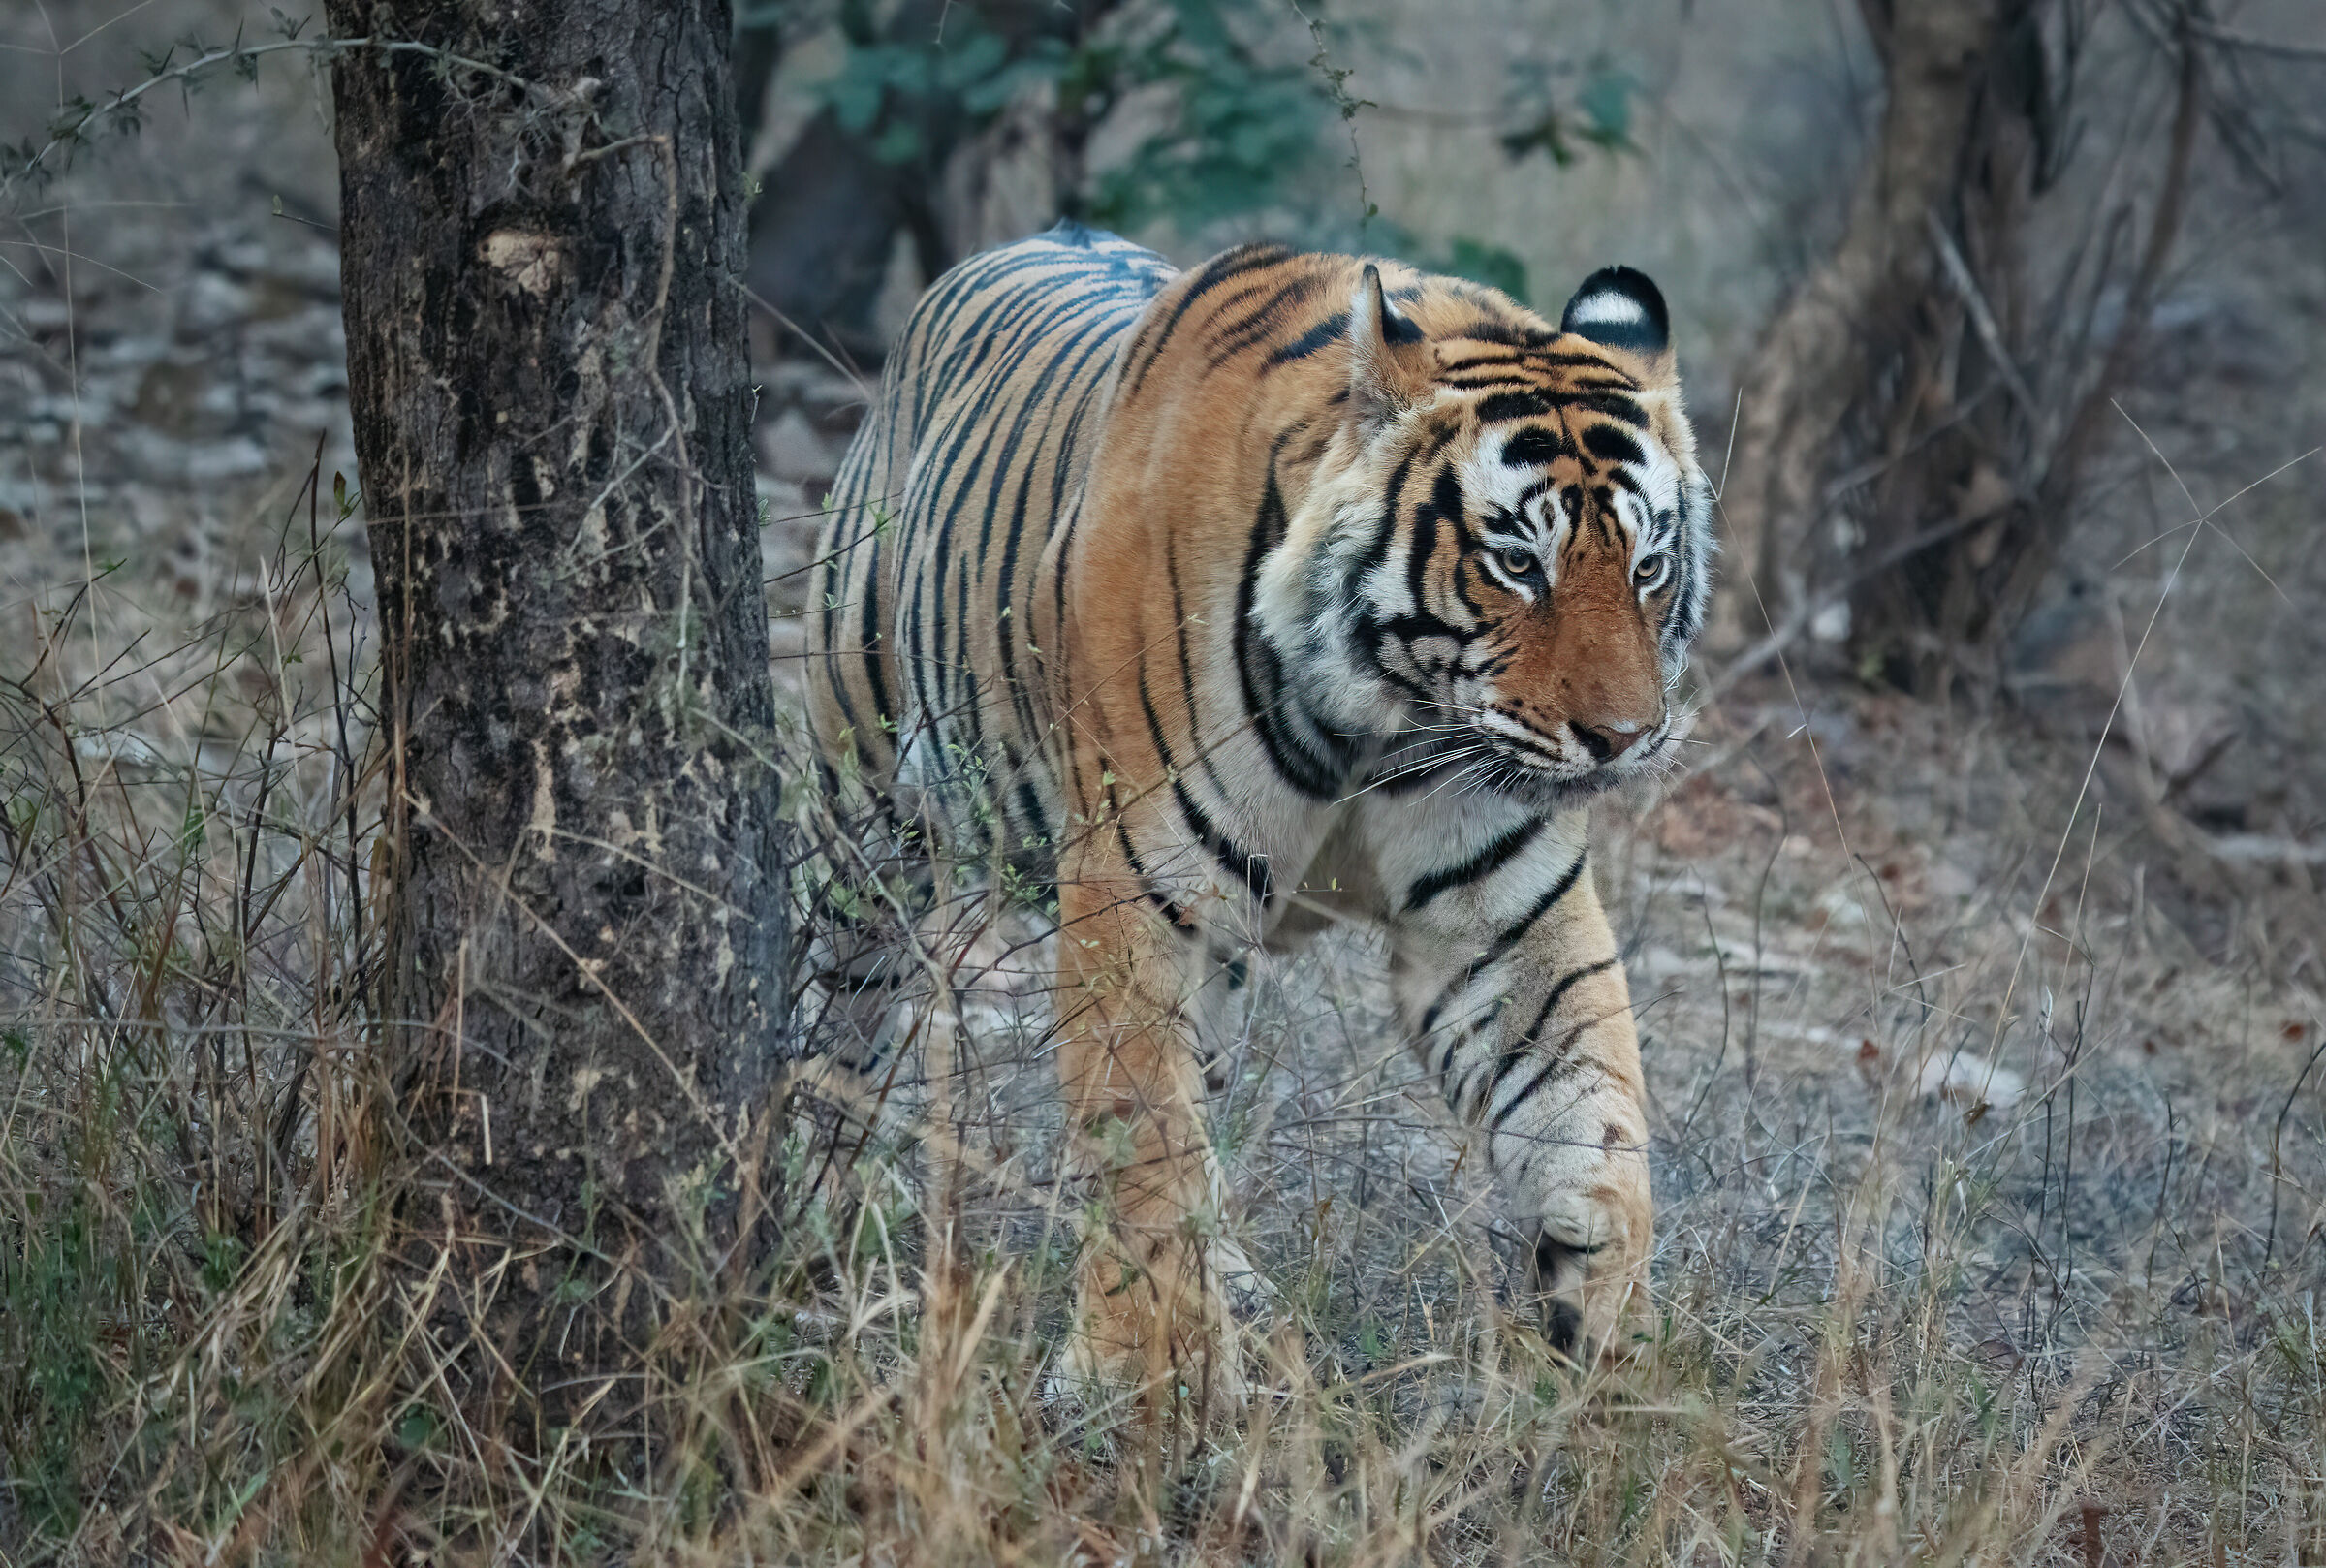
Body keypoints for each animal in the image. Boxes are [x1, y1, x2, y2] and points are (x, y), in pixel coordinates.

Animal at [807, 219, 1711, 1401]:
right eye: (1519, 562)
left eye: (1649, 567)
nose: (1624, 737)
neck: (1387, 717)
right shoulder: (1137, 880)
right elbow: (1138, 1130)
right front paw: (1142, 1377)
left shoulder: (1503, 911)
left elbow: (1589, 1108)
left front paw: (1610, 1327)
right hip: (867, 803)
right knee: (841, 1014)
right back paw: (804, 1196)